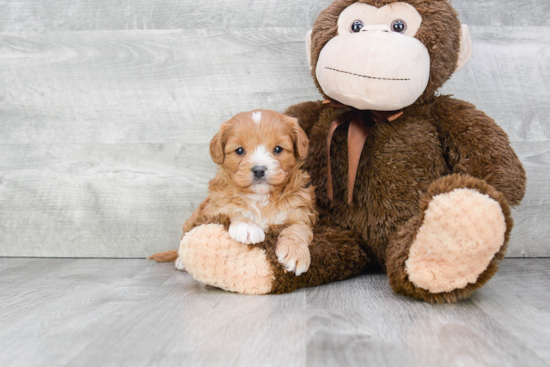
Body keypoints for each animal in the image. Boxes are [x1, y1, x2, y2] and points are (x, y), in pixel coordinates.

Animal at [149, 109, 316, 276]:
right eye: (240, 150)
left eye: (278, 149)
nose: (259, 170)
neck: (260, 198)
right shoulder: (215, 206)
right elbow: (231, 210)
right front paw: (246, 225)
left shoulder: (300, 210)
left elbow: (298, 228)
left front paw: (295, 253)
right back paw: (180, 261)